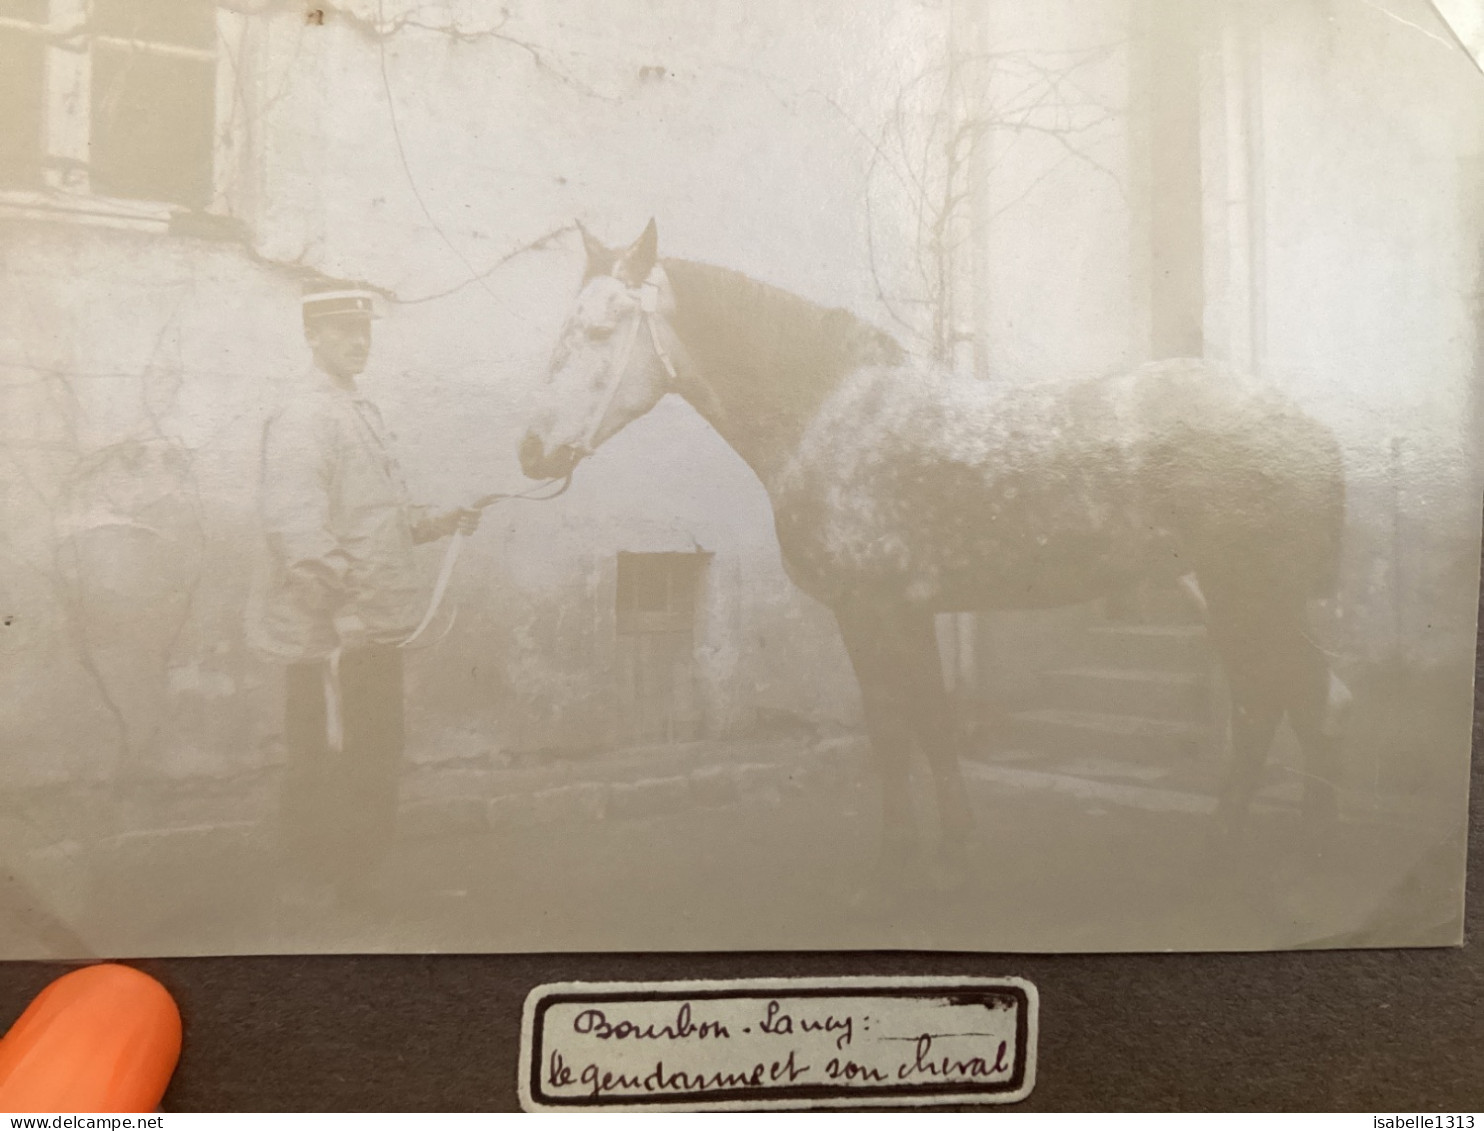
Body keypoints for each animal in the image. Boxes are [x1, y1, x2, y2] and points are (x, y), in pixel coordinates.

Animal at [519, 219, 1347, 878]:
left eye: (599, 332)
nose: (532, 454)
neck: (831, 414)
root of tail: (1298, 419)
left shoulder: (868, 610)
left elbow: (893, 729)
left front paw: (897, 860)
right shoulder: (908, 611)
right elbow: (933, 724)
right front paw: (956, 844)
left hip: (1250, 590)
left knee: (1292, 692)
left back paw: (1294, 842)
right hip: (1231, 593)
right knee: (1276, 696)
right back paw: (1241, 837)